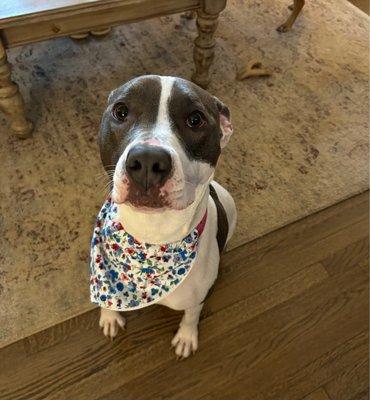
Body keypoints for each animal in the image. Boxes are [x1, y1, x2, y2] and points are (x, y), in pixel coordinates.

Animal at [91, 76, 238, 360]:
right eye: (121, 111)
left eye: (195, 119)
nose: (148, 160)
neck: (152, 237)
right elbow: (106, 296)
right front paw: (110, 316)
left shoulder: (198, 298)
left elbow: (191, 316)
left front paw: (186, 337)